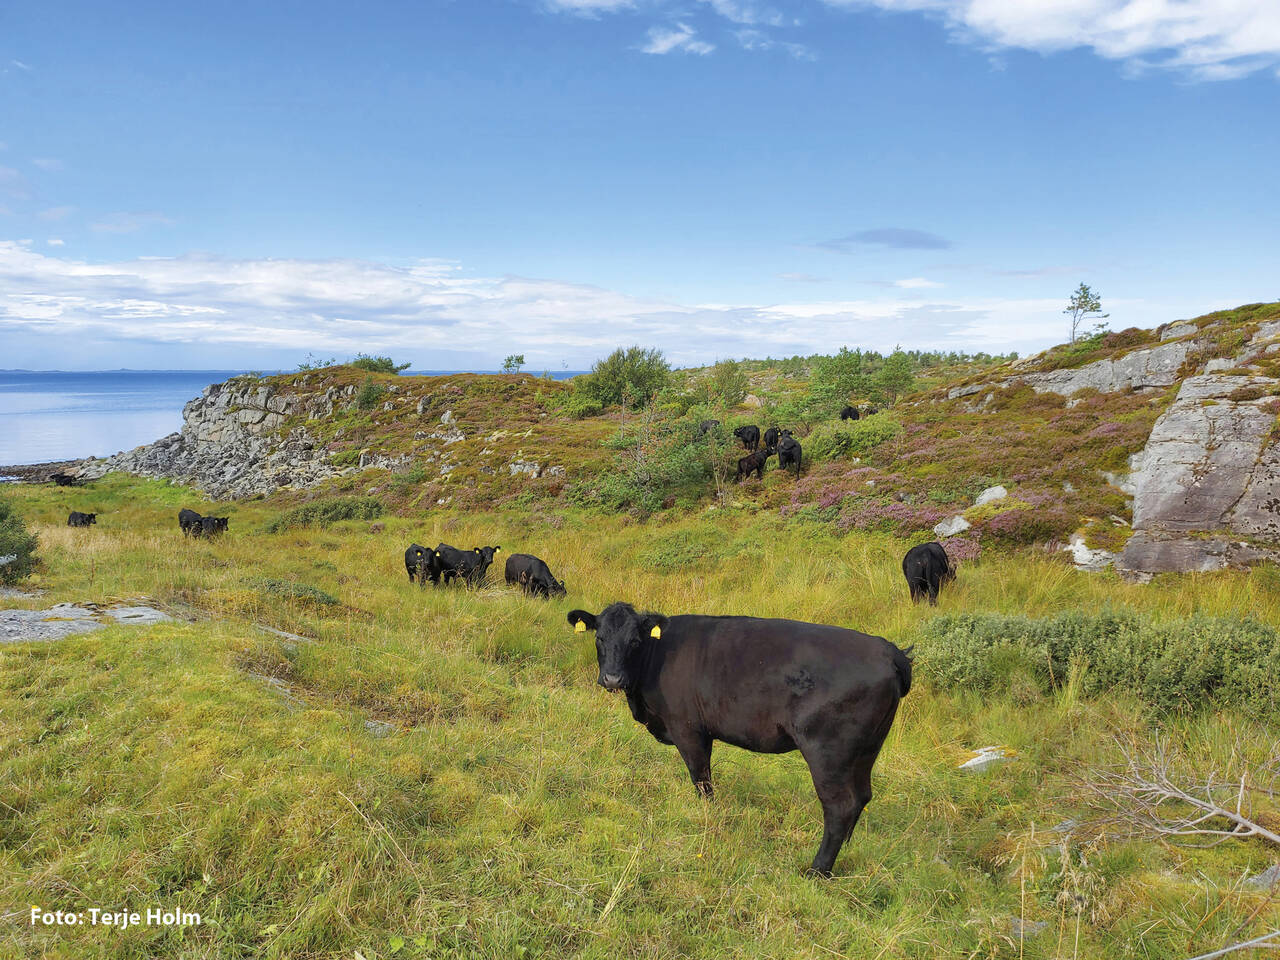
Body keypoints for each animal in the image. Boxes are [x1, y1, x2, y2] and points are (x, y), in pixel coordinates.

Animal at [568, 609, 911, 880]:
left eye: (635, 642)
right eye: (599, 638)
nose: (612, 679)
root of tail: (886, 649)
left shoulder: (688, 729)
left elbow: (702, 780)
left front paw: (708, 819)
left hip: (828, 753)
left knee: (840, 806)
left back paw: (818, 870)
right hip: (865, 751)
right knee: (862, 796)